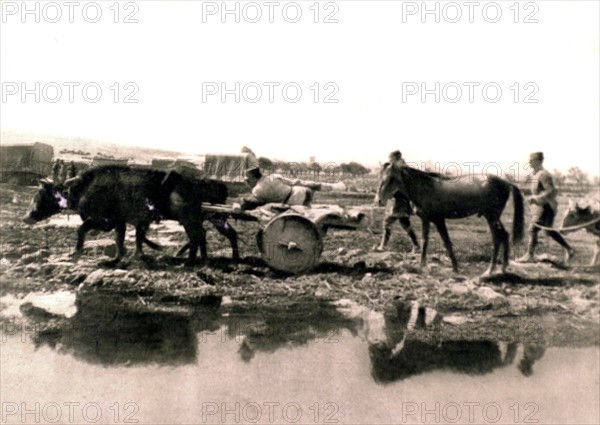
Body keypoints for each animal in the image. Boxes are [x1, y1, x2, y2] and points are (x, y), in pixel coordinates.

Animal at [378, 162, 524, 274]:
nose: (379, 200)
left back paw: (491, 270)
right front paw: (423, 265)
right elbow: (425, 240)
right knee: (503, 235)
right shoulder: (426, 219)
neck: (426, 188)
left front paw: (454, 267)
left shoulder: (438, 220)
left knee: (498, 237)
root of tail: (506, 182)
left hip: (491, 217)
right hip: (494, 218)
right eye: (381, 178)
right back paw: (502, 268)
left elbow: (446, 242)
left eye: (392, 178)